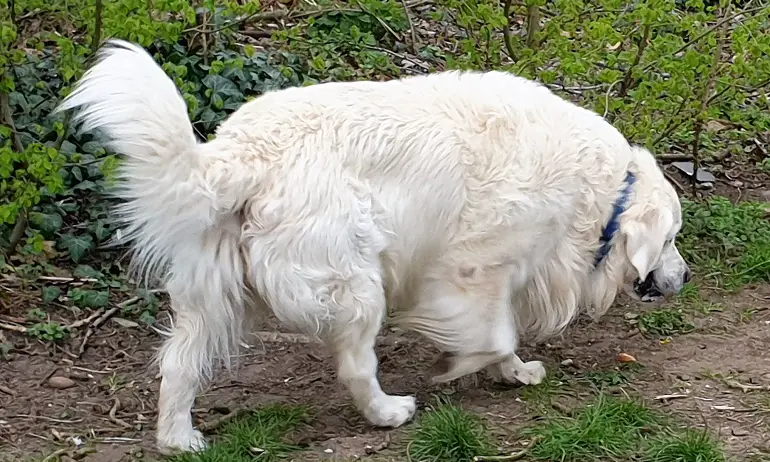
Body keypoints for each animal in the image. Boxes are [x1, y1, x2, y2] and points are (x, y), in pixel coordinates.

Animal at [55, 40, 688, 454]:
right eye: (673, 238)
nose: (683, 277)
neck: (603, 190)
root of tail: (239, 152)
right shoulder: (473, 268)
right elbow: (494, 332)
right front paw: (457, 365)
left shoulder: (503, 275)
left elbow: (503, 334)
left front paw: (512, 371)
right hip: (356, 285)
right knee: (357, 366)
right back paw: (387, 412)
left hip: (211, 301)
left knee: (179, 365)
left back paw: (178, 438)